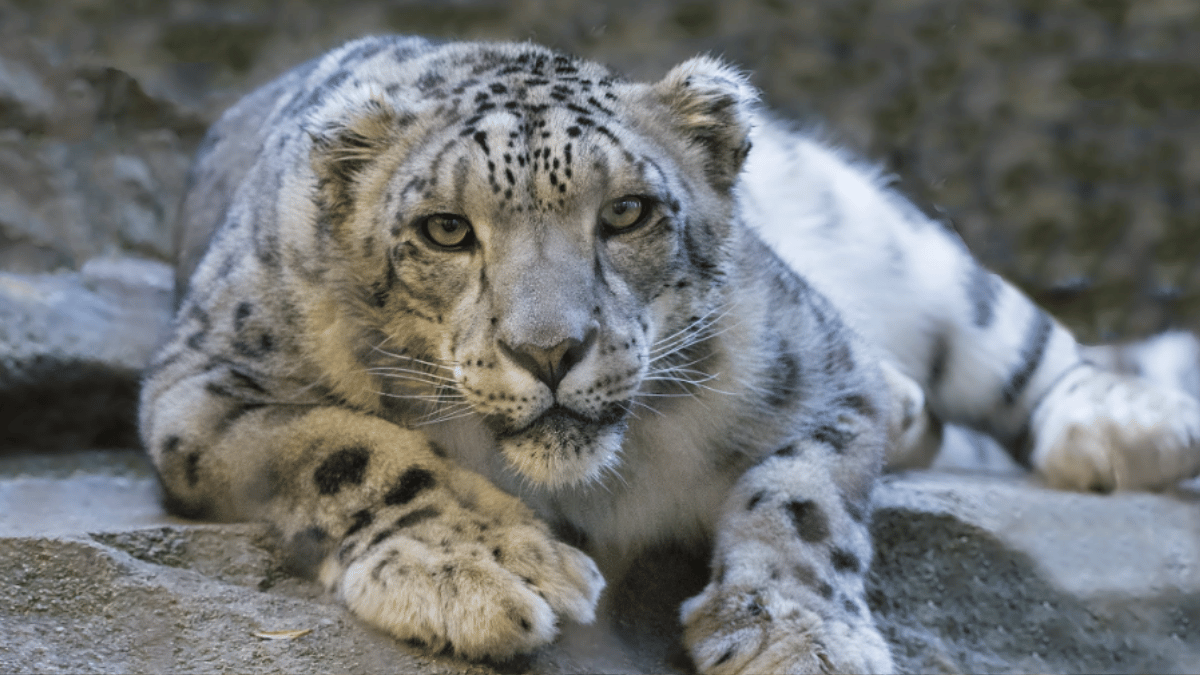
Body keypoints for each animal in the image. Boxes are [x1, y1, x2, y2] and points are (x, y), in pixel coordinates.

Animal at [139, 35, 1200, 674]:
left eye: (627, 213)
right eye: (444, 229)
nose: (550, 349)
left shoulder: (822, 365)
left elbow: (804, 497)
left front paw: (796, 633)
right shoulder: (204, 389)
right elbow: (349, 445)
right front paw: (486, 569)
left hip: (896, 241)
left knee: (1016, 335)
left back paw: (1128, 424)